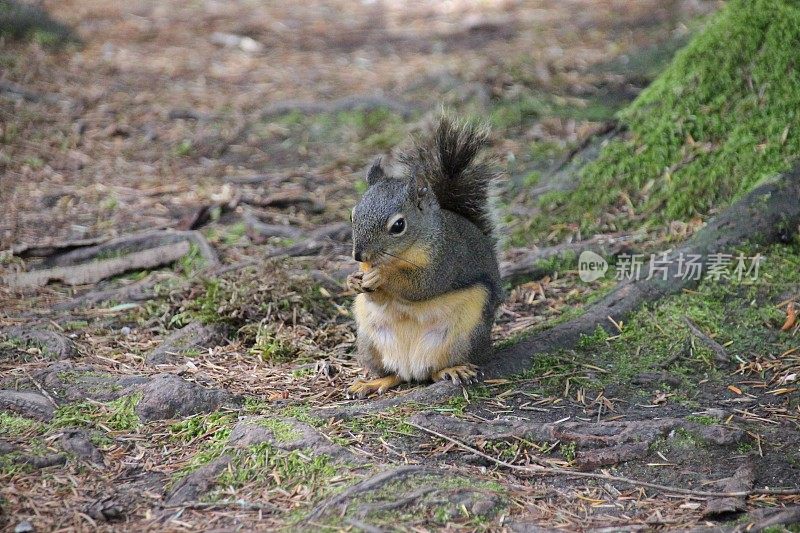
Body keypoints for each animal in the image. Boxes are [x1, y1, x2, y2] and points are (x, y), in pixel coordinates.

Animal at [344, 117, 500, 400]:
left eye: (398, 225)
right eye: (353, 215)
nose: (358, 254)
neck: (398, 256)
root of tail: (411, 365)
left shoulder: (446, 259)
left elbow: (421, 286)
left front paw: (383, 276)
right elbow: (374, 297)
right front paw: (353, 280)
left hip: (465, 336)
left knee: (434, 371)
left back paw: (454, 370)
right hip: (369, 343)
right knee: (394, 374)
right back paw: (371, 383)